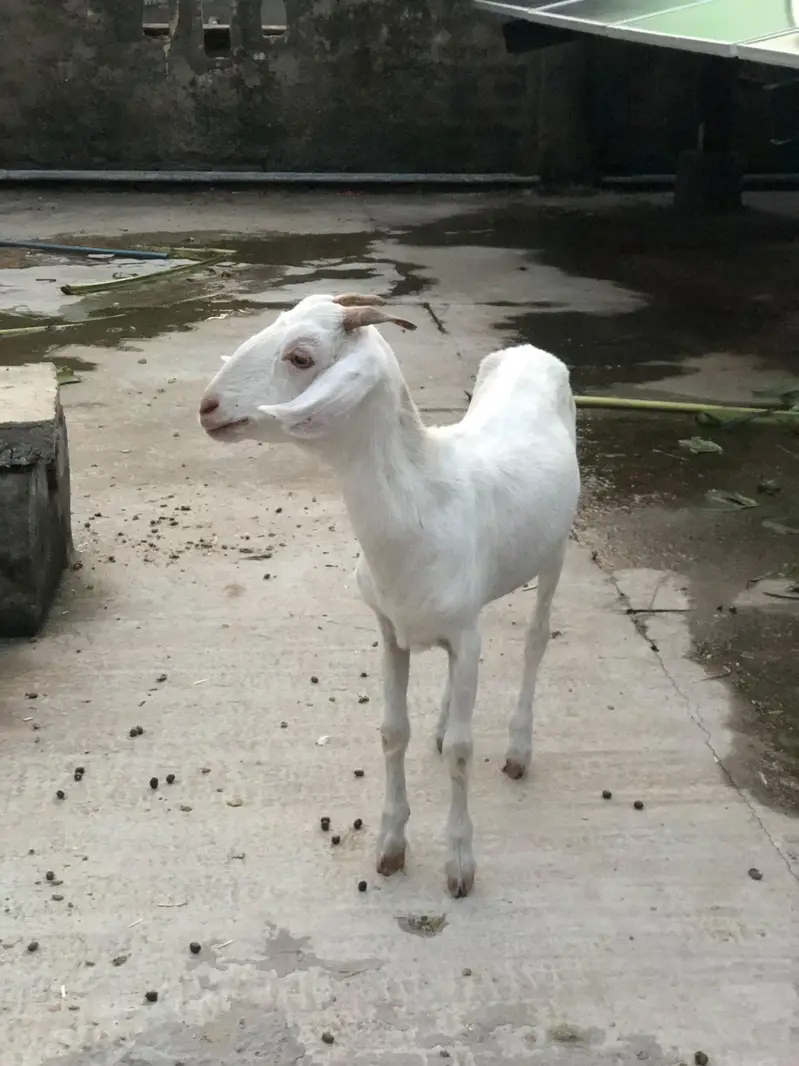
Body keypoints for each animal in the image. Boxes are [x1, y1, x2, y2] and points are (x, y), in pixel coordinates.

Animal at [199, 292, 580, 897]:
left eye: (301, 356)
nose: (208, 406)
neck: (427, 496)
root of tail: (529, 350)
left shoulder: (465, 633)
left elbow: (463, 752)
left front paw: (459, 864)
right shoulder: (391, 631)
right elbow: (392, 732)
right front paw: (391, 845)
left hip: (557, 549)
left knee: (536, 640)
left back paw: (519, 748)